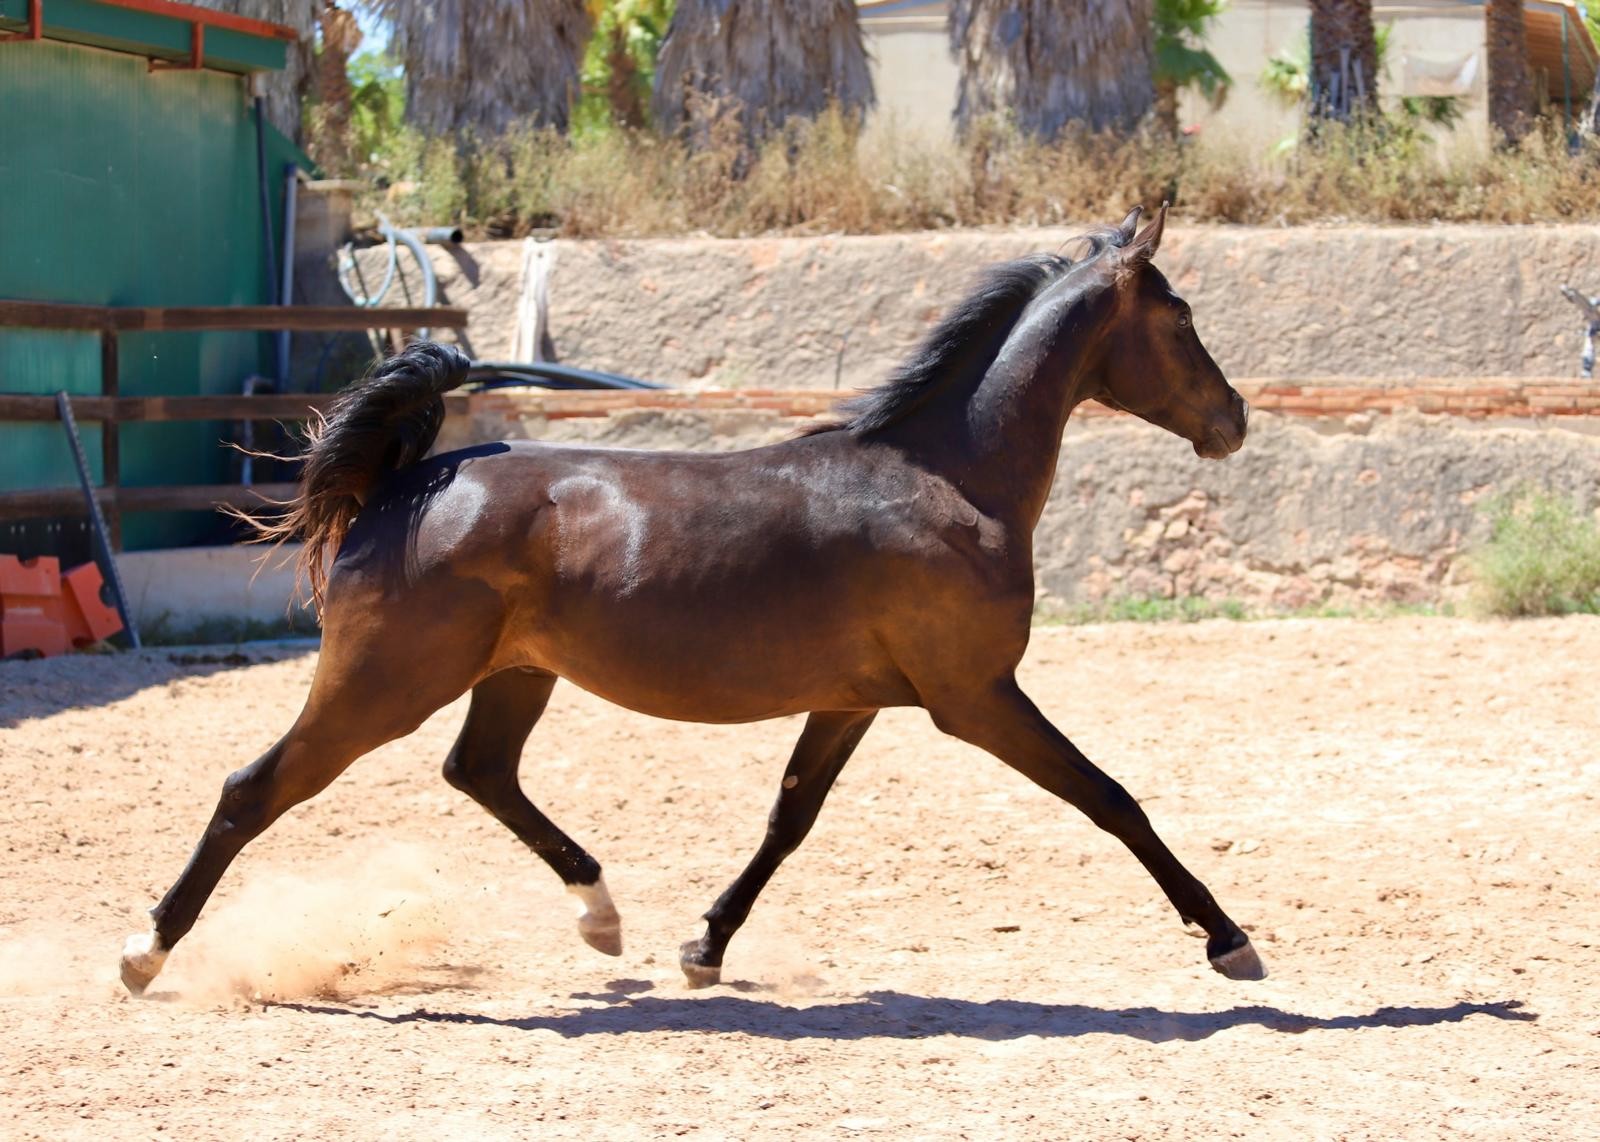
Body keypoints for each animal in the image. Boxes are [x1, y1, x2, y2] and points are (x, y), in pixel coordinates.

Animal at [119, 203, 1265, 996]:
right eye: (1181, 315)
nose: (1235, 420)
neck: (948, 477)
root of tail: (407, 485)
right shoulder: (976, 697)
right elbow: (1111, 797)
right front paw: (1229, 939)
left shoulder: (853, 700)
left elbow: (787, 819)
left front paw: (703, 947)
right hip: (382, 683)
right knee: (253, 789)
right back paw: (143, 953)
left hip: (513, 675)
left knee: (479, 770)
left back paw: (602, 916)